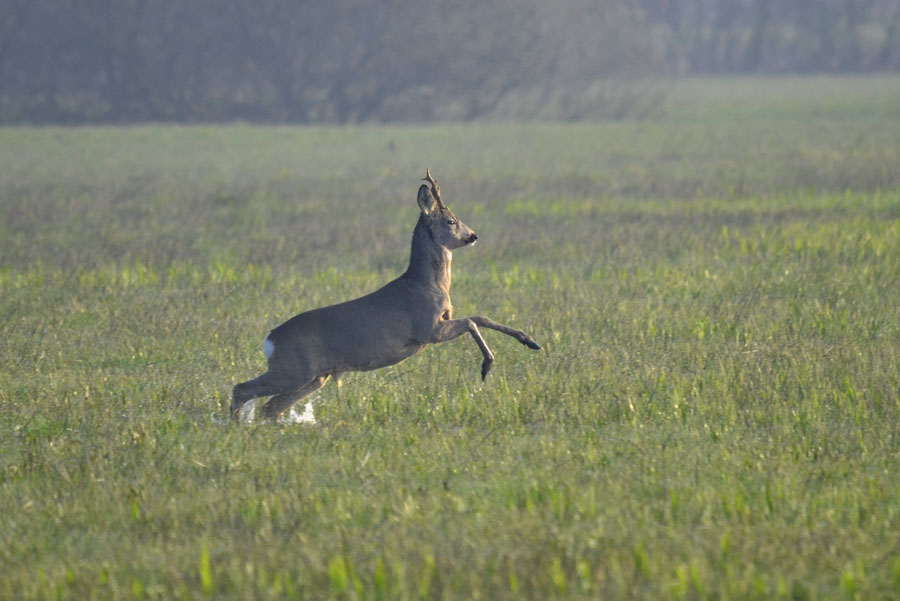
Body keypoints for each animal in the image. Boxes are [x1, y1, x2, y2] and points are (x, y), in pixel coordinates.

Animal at [232, 170, 540, 422]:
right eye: (451, 221)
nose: (473, 235)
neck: (425, 284)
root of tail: (270, 340)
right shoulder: (428, 329)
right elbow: (472, 322)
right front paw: (487, 365)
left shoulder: (442, 321)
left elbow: (481, 316)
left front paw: (530, 341)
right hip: (293, 370)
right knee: (241, 389)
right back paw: (236, 427)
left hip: (314, 377)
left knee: (269, 407)